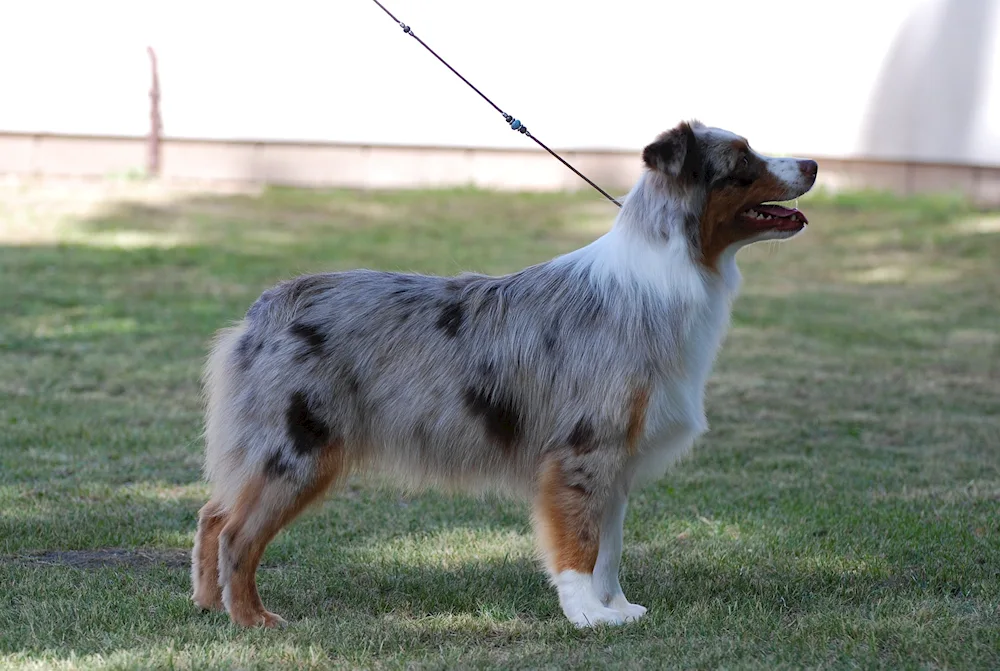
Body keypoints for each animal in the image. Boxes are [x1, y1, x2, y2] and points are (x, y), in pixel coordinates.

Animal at [189, 121, 820, 632]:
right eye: (742, 158)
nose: (814, 164)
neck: (669, 275)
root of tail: (268, 306)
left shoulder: (618, 461)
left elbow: (611, 548)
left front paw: (616, 608)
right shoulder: (582, 452)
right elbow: (581, 544)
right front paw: (586, 615)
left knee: (212, 515)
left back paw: (209, 604)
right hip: (298, 449)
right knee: (237, 534)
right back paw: (252, 619)